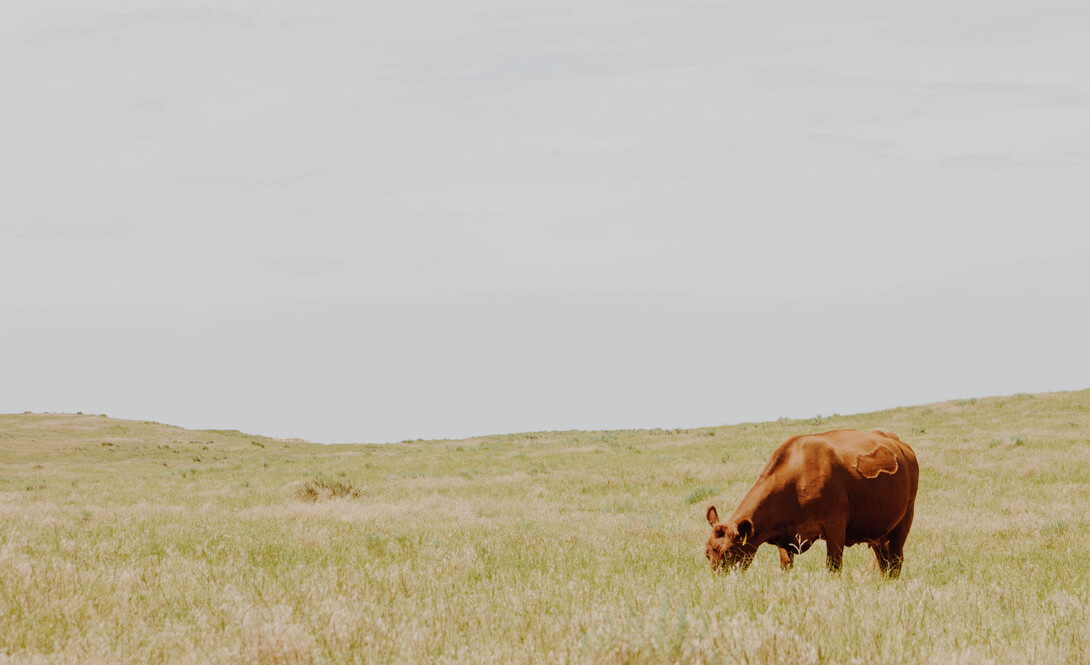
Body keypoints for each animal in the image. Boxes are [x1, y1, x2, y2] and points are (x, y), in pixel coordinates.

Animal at [706, 429, 919, 575]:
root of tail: (899, 444)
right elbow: (786, 567)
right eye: (708, 554)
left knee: (896, 561)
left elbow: (833, 566)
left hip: (904, 520)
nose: (719, 582)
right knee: (884, 563)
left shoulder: (835, 526)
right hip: (879, 531)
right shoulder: (784, 539)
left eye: (728, 552)